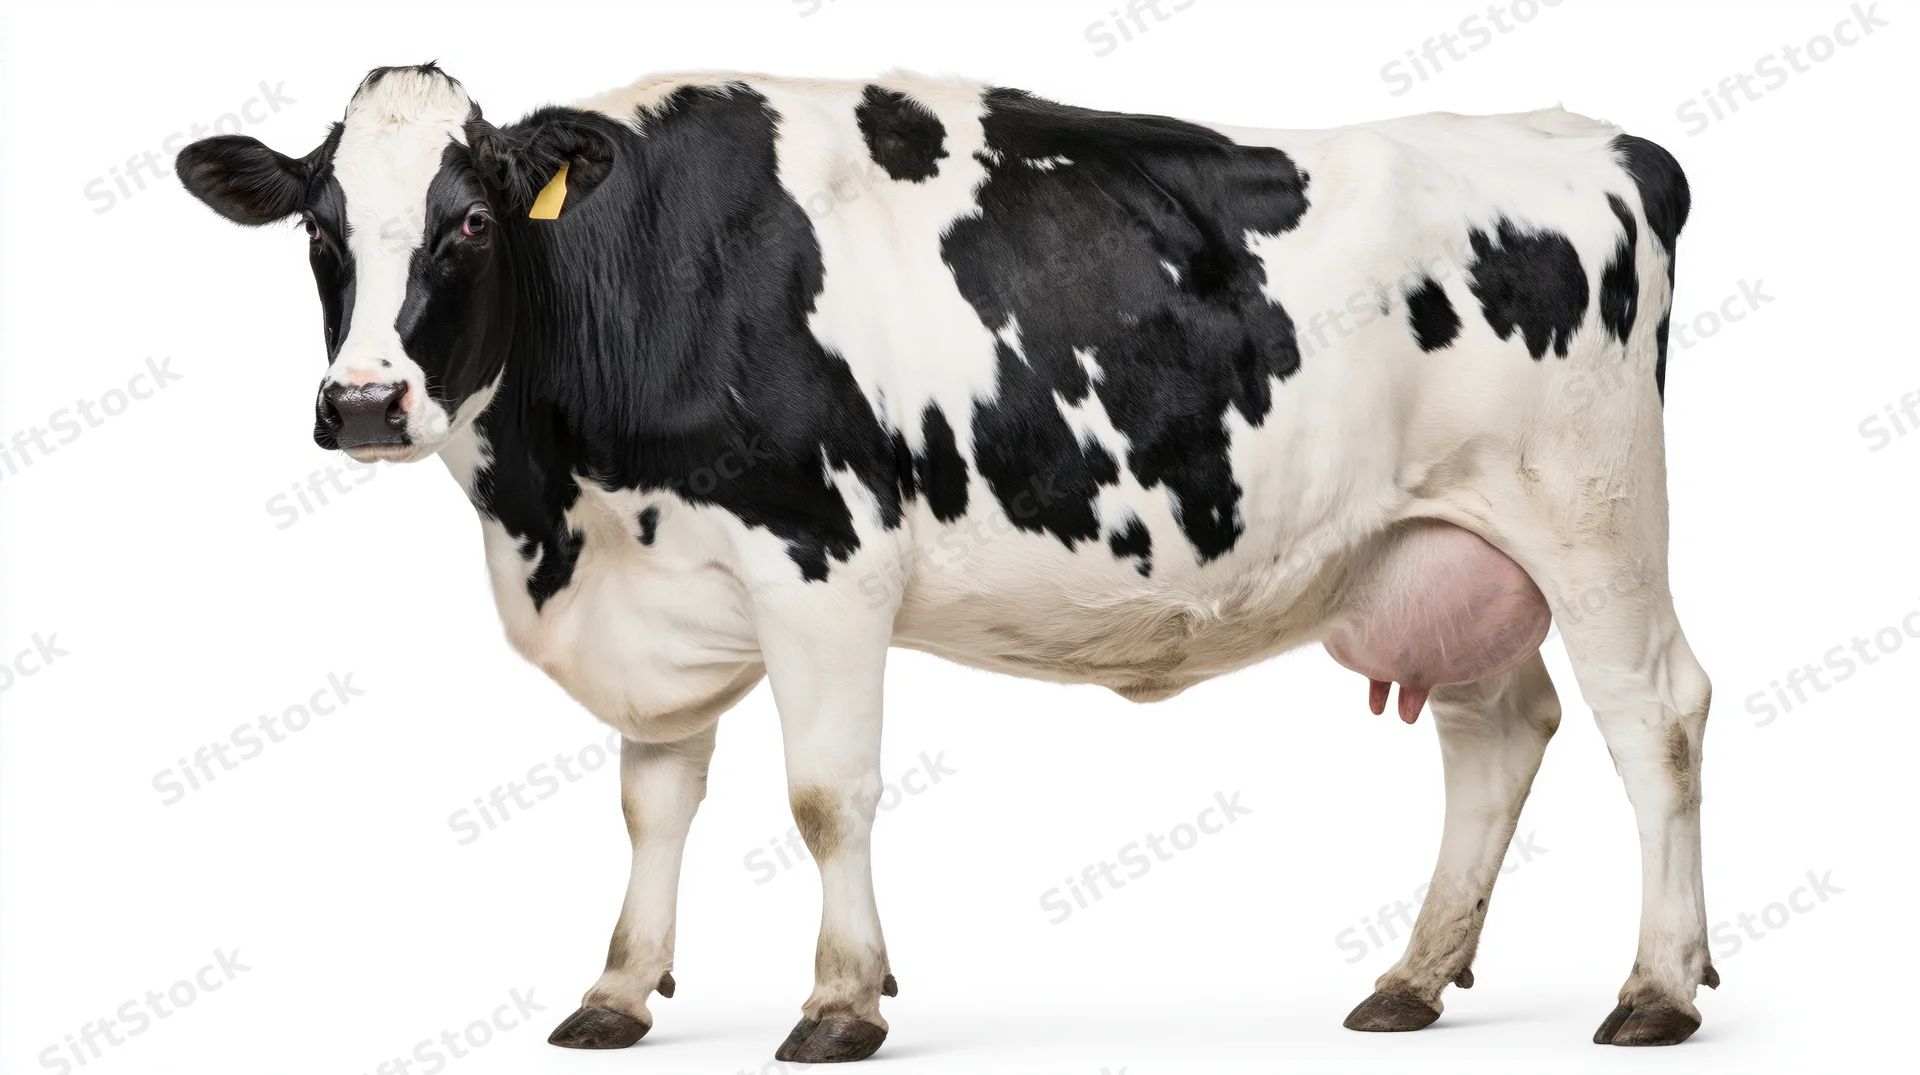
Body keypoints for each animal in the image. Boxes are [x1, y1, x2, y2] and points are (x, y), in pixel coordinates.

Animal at [175, 63, 1709, 1060]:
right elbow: (653, 798)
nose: (364, 401)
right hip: (1442, 543)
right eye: (319, 229)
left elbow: (824, 795)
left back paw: (1658, 989)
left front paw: (840, 1001)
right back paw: (1414, 976)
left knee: (1656, 715)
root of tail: (1606, 142)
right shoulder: (659, 583)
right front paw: (617, 990)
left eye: (471, 220)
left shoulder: (820, 561)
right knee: (1497, 731)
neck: (560, 510)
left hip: (1592, 515)